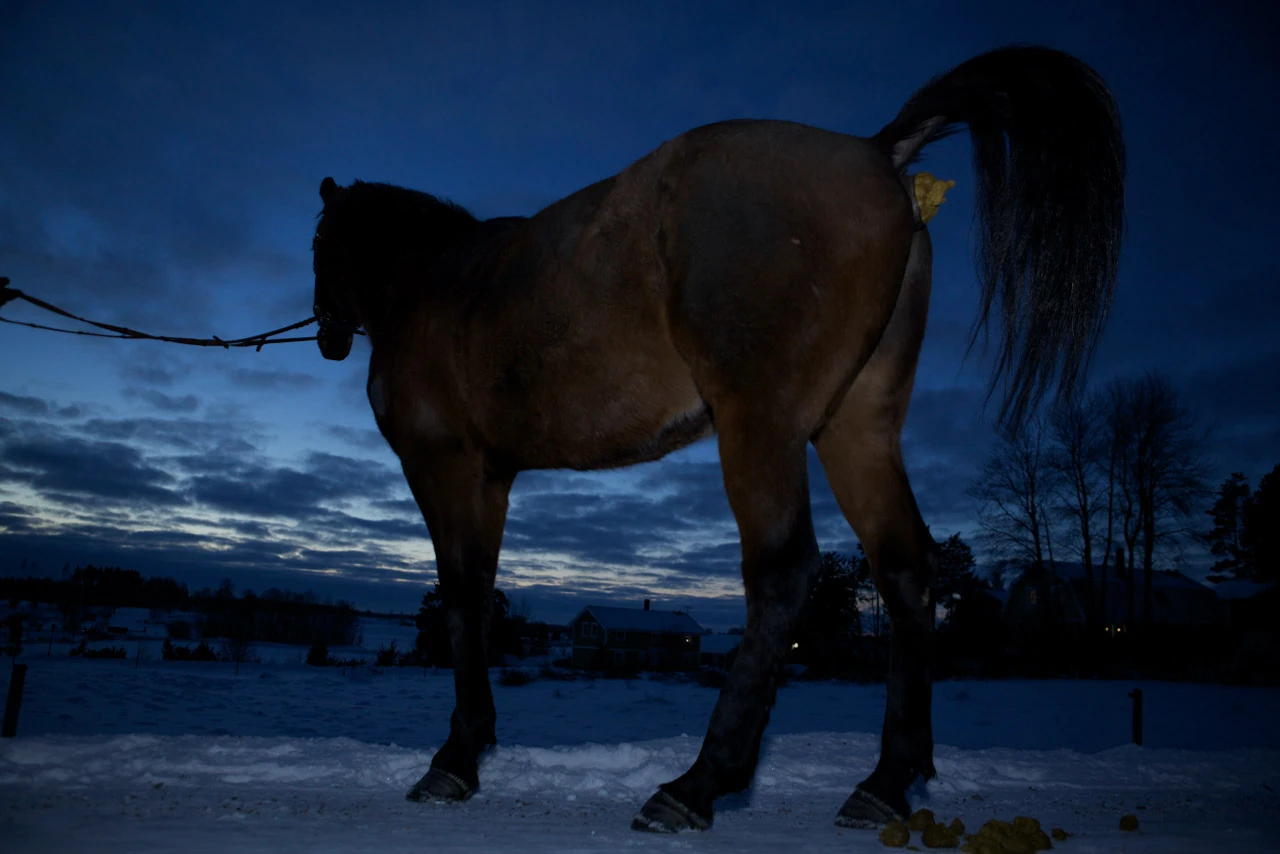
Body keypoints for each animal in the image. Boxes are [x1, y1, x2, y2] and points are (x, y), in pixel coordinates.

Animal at [310, 45, 1124, 833]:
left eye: (320, 245)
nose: (326, 335)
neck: (430, 284)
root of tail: (877, 151)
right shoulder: (490, 476)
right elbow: (478, 596)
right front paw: (470, 747)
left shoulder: (441, 466)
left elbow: (457, 597)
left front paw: (455, 758)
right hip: (855, 427)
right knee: (906, 570)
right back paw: (885, 783)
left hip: (760, 422)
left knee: (783, 572)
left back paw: (700, 782)